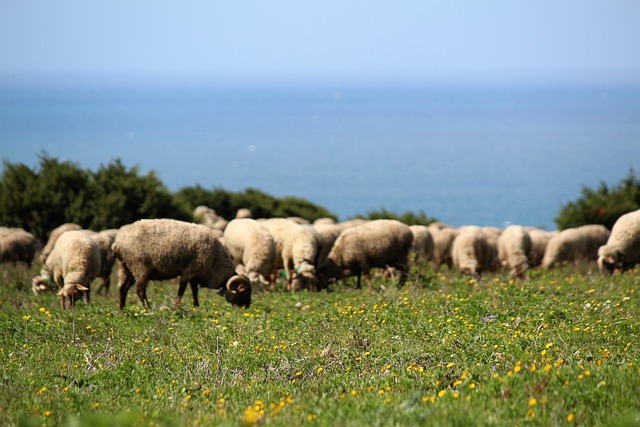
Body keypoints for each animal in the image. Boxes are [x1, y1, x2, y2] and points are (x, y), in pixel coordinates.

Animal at [112, 219, 250, 310]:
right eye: (244, 291)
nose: (247, 306)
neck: (216, 262)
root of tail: (118, 243)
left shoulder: (195, 273)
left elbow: (194, 291)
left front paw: (196, 306)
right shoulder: (188, 271)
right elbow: (181, 291)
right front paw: (177, 307)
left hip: (126, 268)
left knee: (122, 288)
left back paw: (121, 310)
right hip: (139, 267)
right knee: (140, 291)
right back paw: (148, 309)